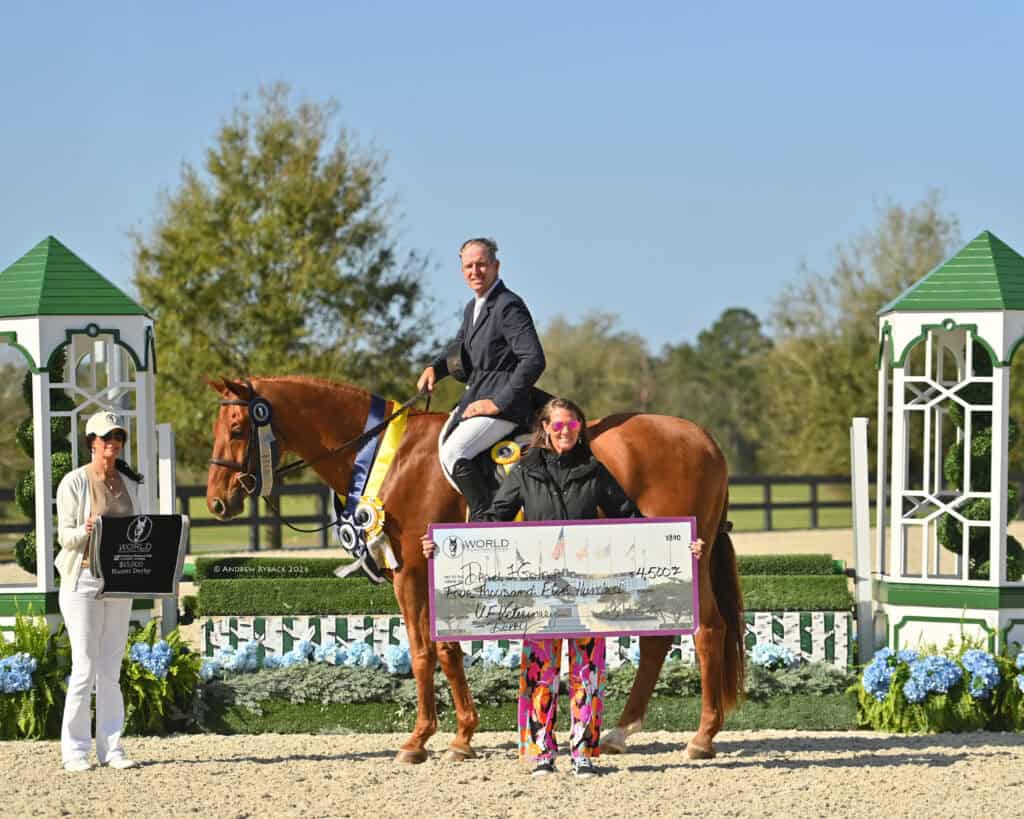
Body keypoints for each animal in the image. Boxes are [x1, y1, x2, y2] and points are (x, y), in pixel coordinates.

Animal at [205, 375, 744, 762]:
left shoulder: (411, 572)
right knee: (659, 640)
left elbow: (425, 653)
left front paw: (420, 741)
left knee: (707, 630)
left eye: (237, 429)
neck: (387, 457)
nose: (216, 503)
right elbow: (447, 653)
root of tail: (704, 438)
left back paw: (701, 738)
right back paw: (619, 733)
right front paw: (462, 736)